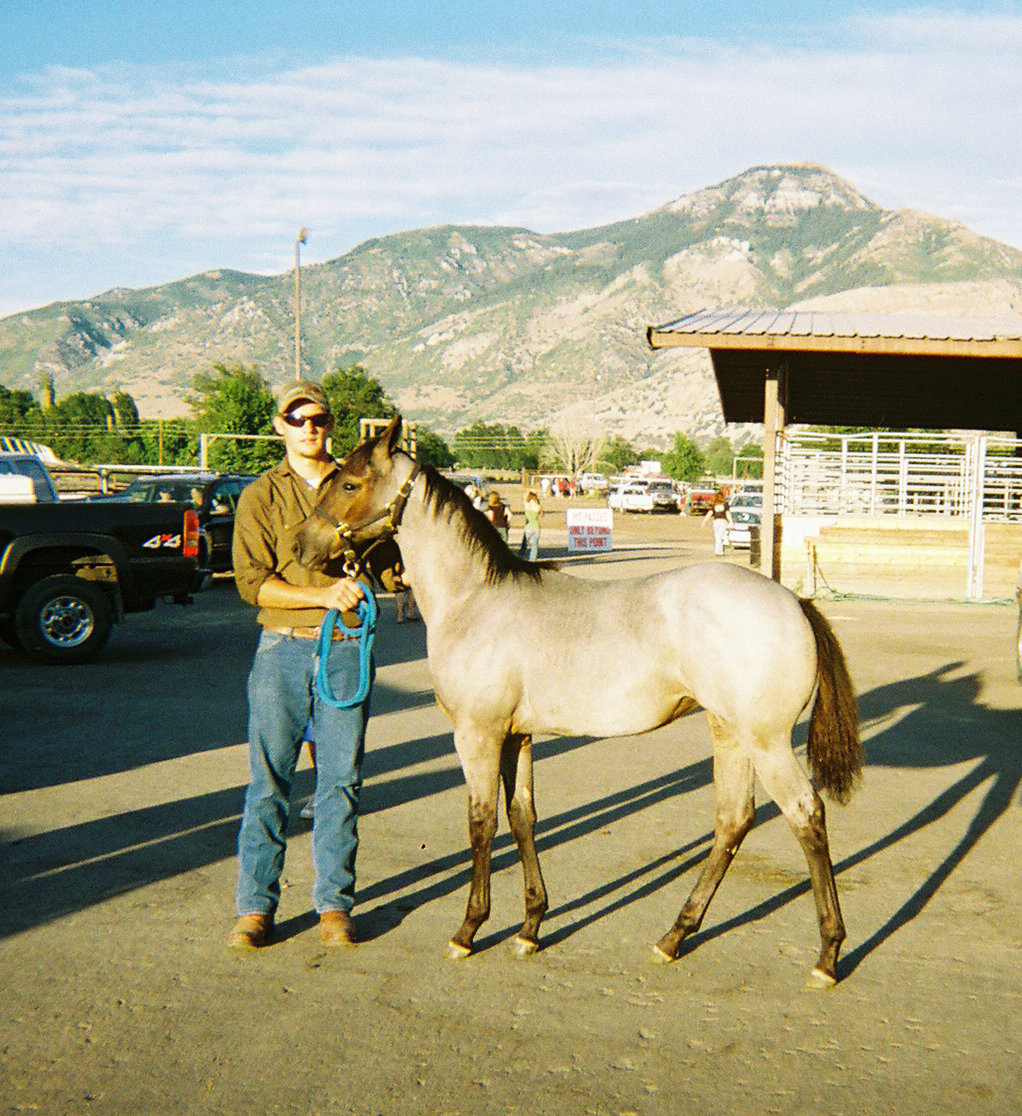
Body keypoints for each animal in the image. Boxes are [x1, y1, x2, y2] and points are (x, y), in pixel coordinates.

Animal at [294, 418, 863, 988]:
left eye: (349, 483)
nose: (301, 545)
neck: (475, 599)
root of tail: (794, 602)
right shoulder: (516, 737)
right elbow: (522, 816)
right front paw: (530, 928)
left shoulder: (478, 735)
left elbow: (482, 822)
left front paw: (468, 930)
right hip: (730, 733)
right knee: (733, 820)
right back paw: (674, 938)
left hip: (766, 743)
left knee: (805, 815)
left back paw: (827, 955)